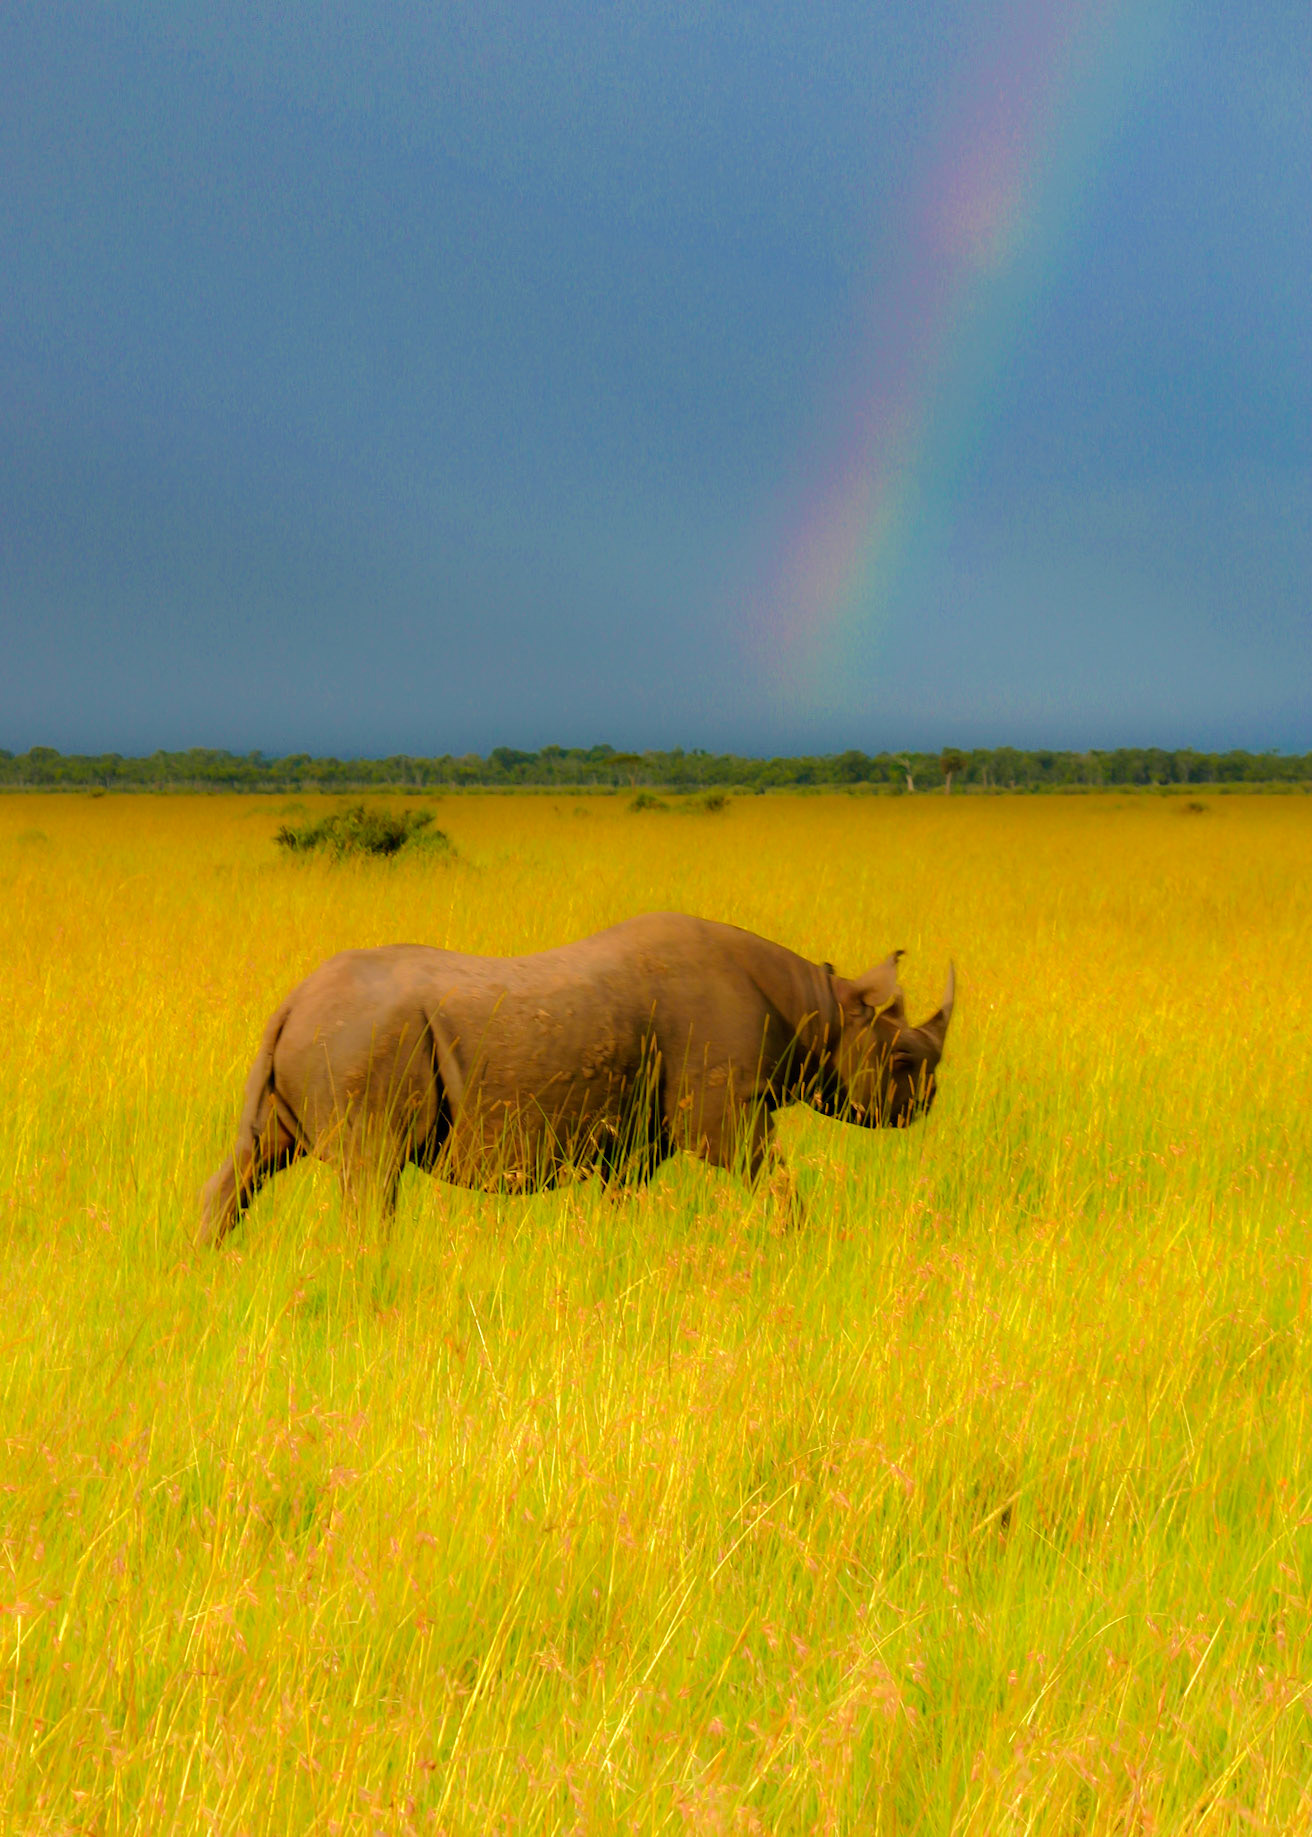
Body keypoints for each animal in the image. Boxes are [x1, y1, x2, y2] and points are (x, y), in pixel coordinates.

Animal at [199, 911, 954, 1244]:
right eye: (903, 1062)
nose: (927, 1104)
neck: (820, 1007)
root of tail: (291, 1001)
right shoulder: (725, 1112)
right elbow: (773, 1177)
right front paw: (799, 1241)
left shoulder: (636, 1135)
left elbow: (621, 1198)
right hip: (363, 1039)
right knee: (373, 1172)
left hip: (326, 1037)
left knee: (256, 1158)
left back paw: (208, 1266)